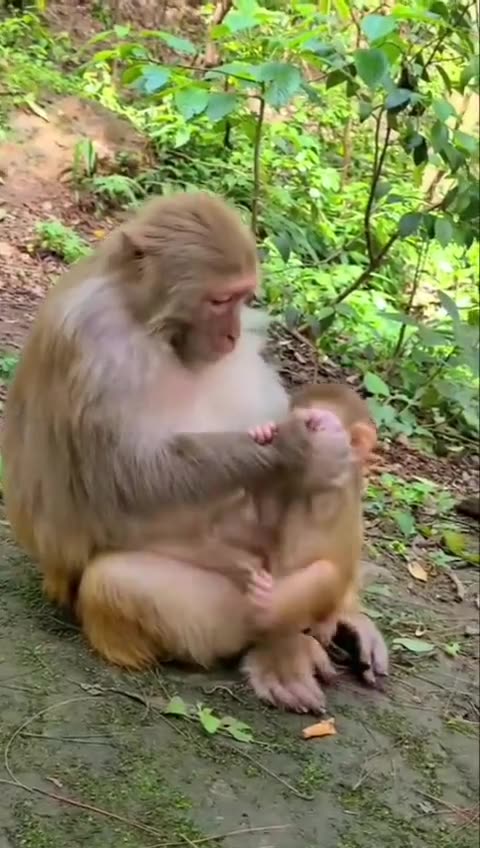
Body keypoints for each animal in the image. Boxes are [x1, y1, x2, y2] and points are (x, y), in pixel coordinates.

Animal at [3, 191, 384, 714]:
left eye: (243, 298)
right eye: (219, 300)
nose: (231, 334)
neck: (149, 324)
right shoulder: (93, 342)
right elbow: (120, 481)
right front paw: (297, 451)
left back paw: (334, 614)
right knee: (113, 581)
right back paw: (279, 643)